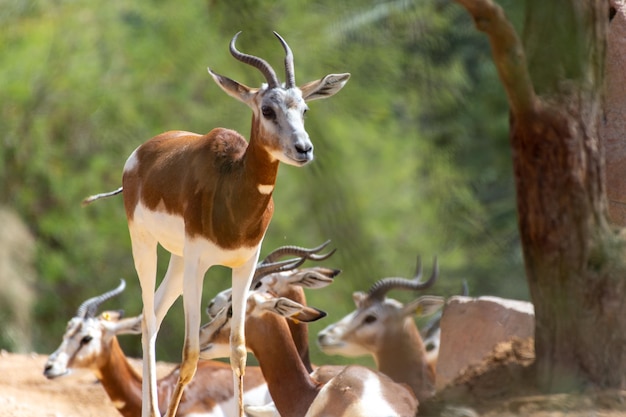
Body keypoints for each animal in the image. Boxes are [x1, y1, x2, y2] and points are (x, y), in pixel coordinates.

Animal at [81, 31, 348, 416]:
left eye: (304, 109)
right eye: (267, 109)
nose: (304, 149)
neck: (233, 188)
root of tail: (143, 151)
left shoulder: (245, 264)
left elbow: (238, 351)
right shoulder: (199, 265)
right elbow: (191, 353)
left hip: (177, 258)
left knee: (153, 315)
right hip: (146, 246)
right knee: (149, 317)